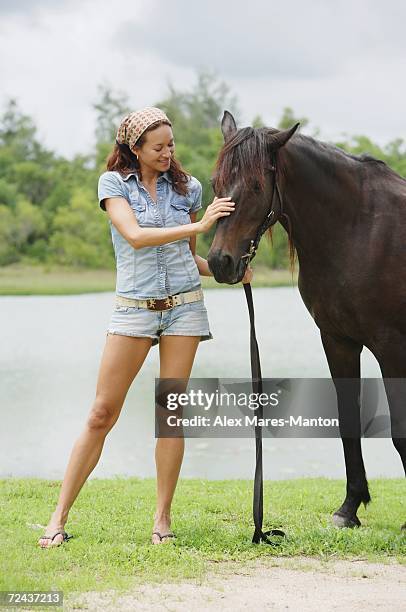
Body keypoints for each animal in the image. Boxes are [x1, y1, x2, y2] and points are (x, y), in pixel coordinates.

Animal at [208, 110, 406, 532]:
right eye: (216, 184)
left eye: (255, 185)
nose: (220, 262)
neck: (359, 230)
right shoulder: (337, 340)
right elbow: (347, 420)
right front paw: (349, 508)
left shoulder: (391, 348)